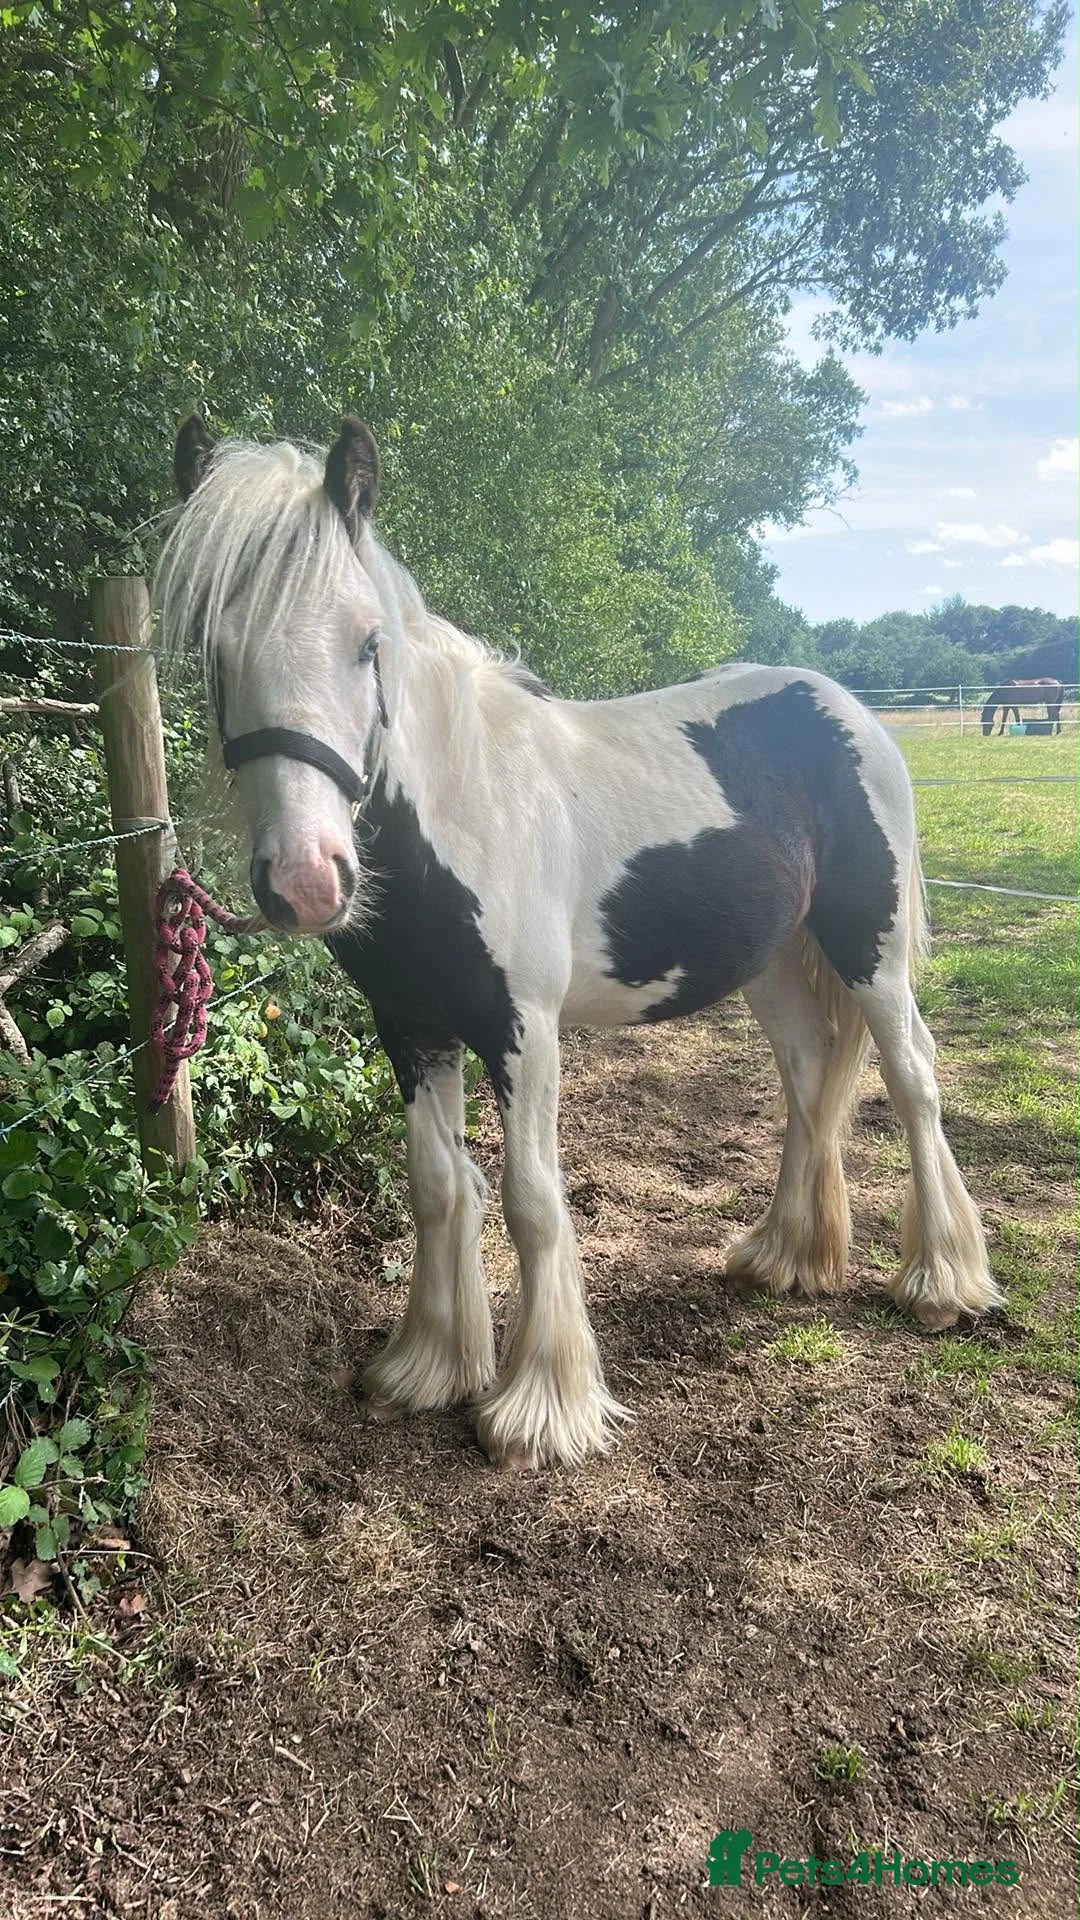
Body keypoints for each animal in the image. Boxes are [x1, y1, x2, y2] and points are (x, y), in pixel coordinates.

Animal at [155, 415, 1002, 1469]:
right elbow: (439, 1186)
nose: (308, 881)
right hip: (771, 962)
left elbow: (531, 1200)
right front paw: (428, 1367)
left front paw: (538, 1410)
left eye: (368, 644)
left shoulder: (524, 1029)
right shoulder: (411, 1026)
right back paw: (784, 1259)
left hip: (868, 947)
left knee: (914, 1077)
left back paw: (940, 1285)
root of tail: (844, 708)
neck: (463, 810)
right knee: (811, 1073)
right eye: (213, 651)